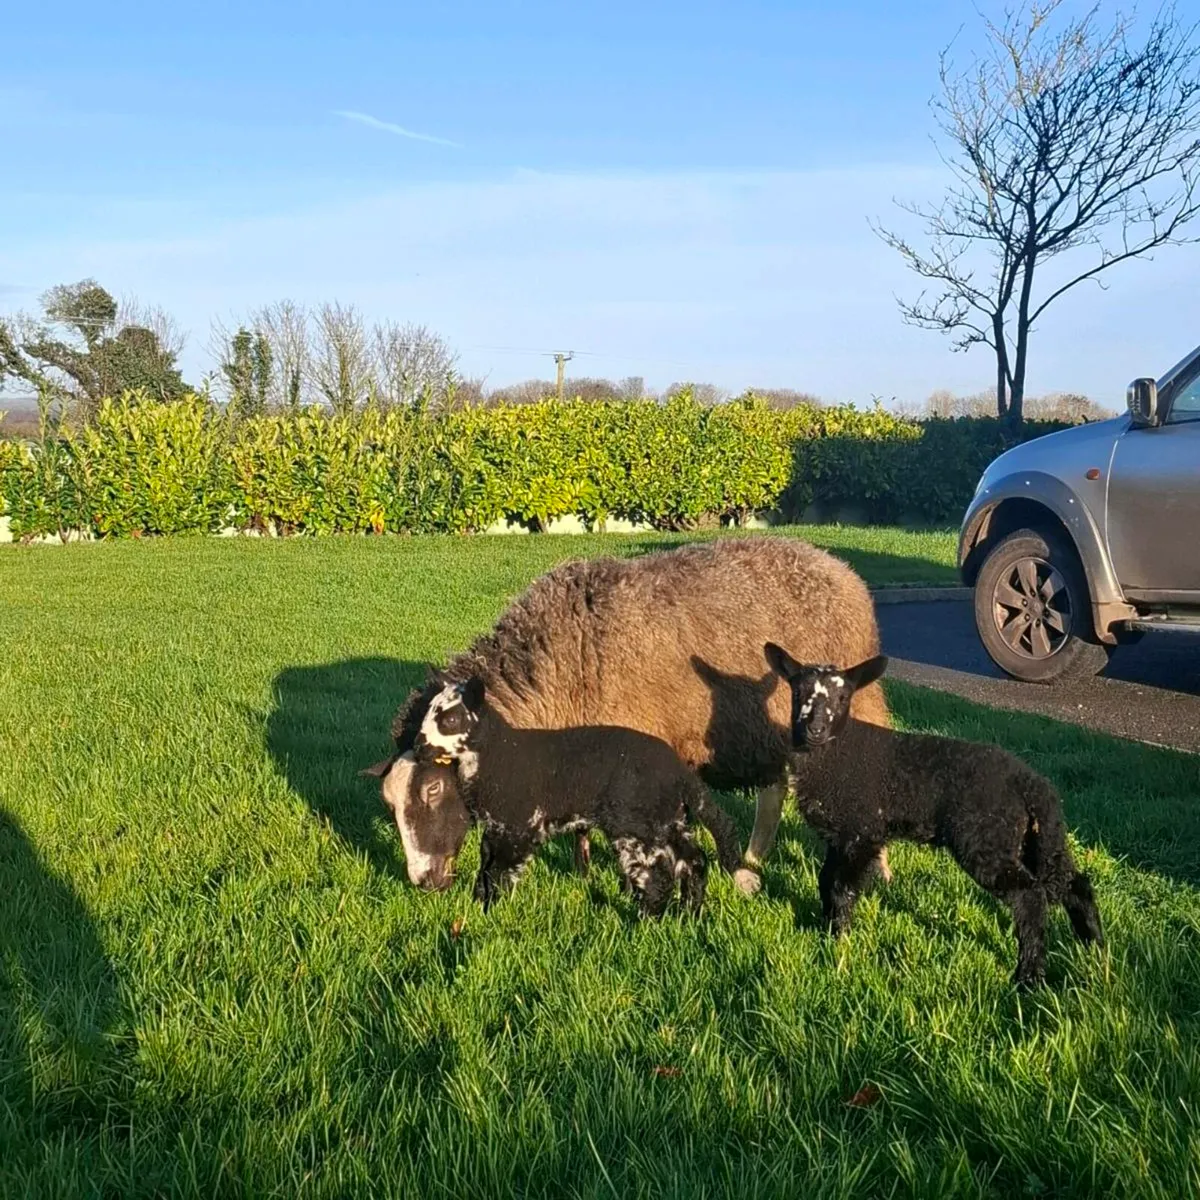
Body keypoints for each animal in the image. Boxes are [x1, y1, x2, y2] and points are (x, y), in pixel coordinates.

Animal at [373, 676, 753, 914]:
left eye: (450, 719)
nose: (420, 744)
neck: (501, 753)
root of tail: (678, 771)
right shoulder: (495, 830)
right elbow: (486, 868)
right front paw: (477, 903)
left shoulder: (519, 825)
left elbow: (501, 874)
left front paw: (488, 913)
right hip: (666, 819)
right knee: (694, 861)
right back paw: (690, 912)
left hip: (634, 826)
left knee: (657, 878)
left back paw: (648, 923)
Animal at [385, 535, 893, 892]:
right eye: (390, 803)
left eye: (432, 790)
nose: (423, 881)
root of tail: (839, 568)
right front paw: (583, 872)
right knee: (773, 790)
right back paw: (754, 858)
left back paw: (879, 871)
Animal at [763, 643, 1105, 988]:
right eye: (797, 692)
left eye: (843, 697)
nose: (815, 729)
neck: (837, 755)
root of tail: (1032, 783)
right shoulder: (839, 835)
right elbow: (824, 881)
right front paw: (823, 931)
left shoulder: (862, 832)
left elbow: (840, 890)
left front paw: (839, 945)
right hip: (1031, 839)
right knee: (1074, 884)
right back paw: (1094, 949)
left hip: (986, 839)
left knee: (1030, 896)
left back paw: (1028, 978)